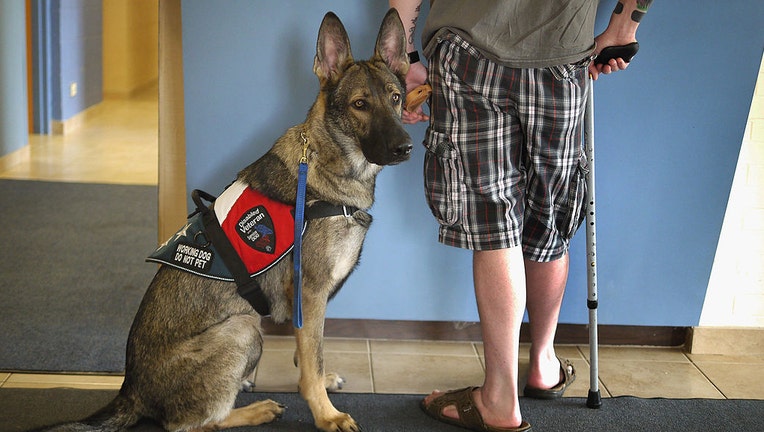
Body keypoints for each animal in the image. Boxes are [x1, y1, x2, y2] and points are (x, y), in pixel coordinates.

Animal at [40, 10, 412, 432]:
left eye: (395, 98)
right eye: (360, 104)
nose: (405, 147)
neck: (326, 162)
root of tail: (129, 389)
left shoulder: (309, 304)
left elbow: (309, 353)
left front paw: (318, 381)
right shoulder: (312, 292)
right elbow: (311, 361)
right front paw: (326, 414)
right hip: (243, 328)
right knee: (191, 424)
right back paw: (254, 409)